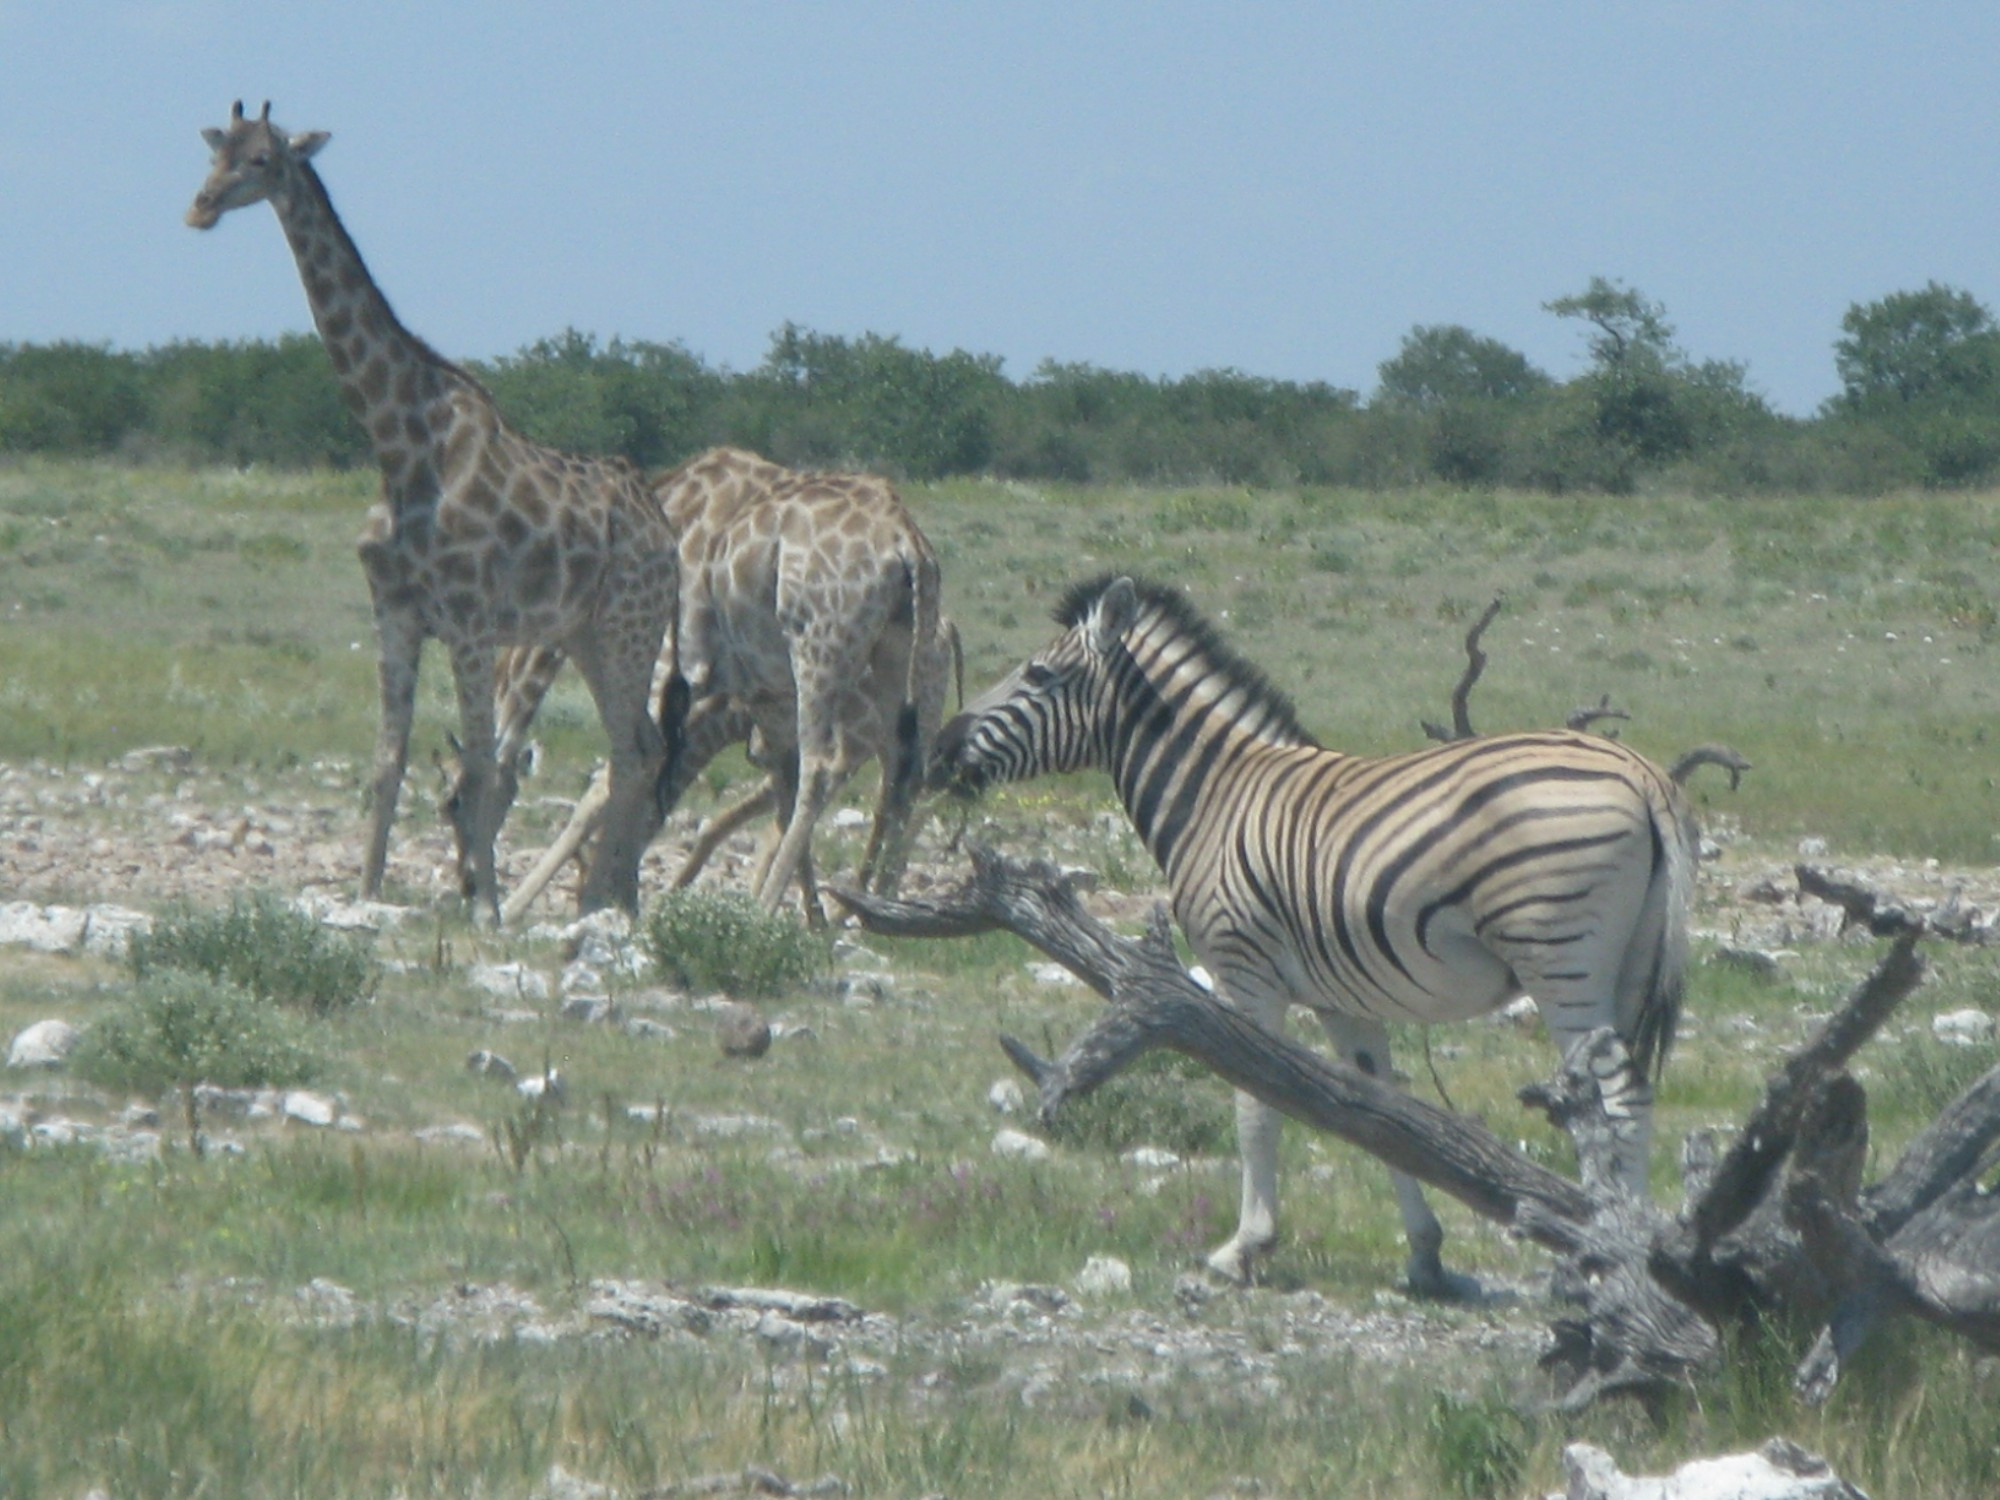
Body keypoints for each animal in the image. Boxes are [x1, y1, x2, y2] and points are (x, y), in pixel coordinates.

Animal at [191, 103, 684, 916]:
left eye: (262, 159)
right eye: (213, 151)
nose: (199, 207)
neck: (398, 444)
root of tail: (666, 531)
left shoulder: (471, 620)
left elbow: (481, 766)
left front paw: (484, 908)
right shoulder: (394, 610)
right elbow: (387, 759)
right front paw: (364, 892)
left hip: (628, 628)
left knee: (631, 752)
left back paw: (601, 906)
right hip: (582, 634)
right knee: (639, 749)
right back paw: (609, 902)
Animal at [444, 446, 952, 924]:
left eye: (451, 802)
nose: (466, 884)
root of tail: (908, 545)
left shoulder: (664, 655)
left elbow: (613, 779)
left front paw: (570, 903)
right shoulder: (757, 690)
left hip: (818, 650)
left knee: (824, 769)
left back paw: (776, 908)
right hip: (896, 668)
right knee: (901, 783)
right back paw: (877, 908)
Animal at [928, 576, 1696, 1296]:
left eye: (1038, 675)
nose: (938, 750)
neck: (1214, 796)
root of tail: (1640, 772)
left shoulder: (1244, 971)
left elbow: (1256, 1107)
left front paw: (1244, 1249)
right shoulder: (1340, 997)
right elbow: (1380, 1115)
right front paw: (1425, 1255)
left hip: (1560, 957)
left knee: (1619, 1099)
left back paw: (1615, 1258)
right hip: (1627, 966)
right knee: (1630, 1094)